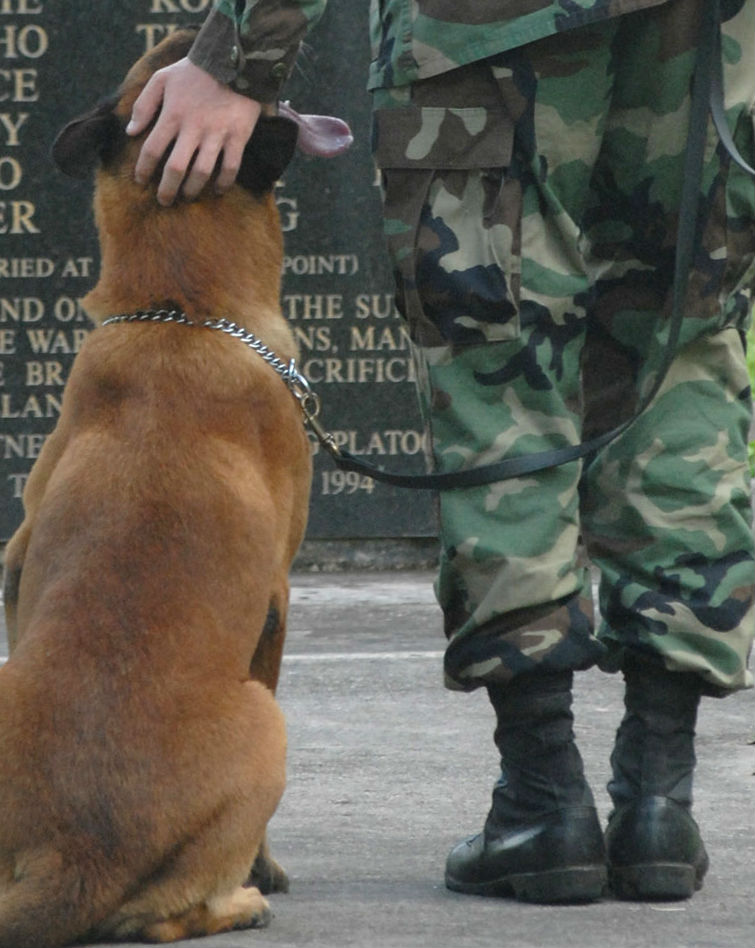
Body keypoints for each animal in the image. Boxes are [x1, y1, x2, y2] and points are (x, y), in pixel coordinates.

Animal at [0, 29, 328, 948]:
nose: (195, 36)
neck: (176, 308)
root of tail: (76, 852)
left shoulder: (16, 557)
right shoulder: (278, 599)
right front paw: (267, 872)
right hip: (266, 727)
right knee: (163, 920)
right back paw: (241, 900)